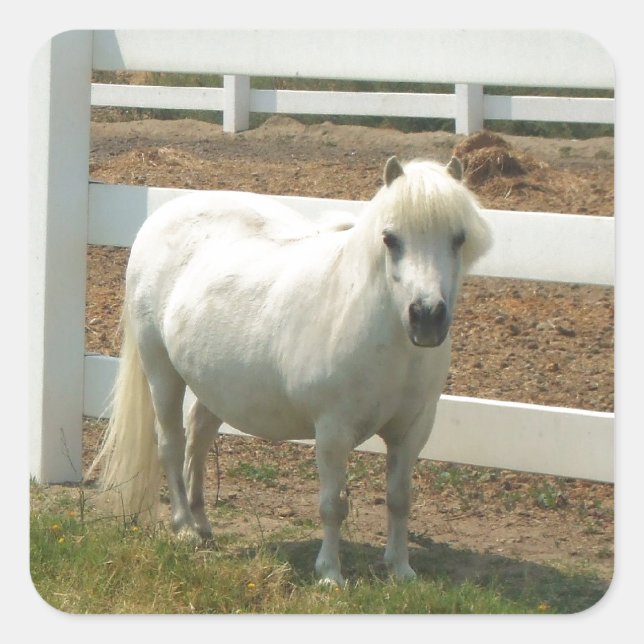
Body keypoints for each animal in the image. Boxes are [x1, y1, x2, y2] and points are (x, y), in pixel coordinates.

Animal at [89, 155, 492, 585]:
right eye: (390, 238)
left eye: (458, 238)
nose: (427, 317)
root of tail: (160, 216)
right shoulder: (332, 431)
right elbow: (333, 504)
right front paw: (330, 574)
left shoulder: (412, 430)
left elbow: (400, 499)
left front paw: (400, 570)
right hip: (161, 371)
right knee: (171, 443)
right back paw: (184, 529)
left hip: (215, 384)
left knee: (198, 438)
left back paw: (203, 525)